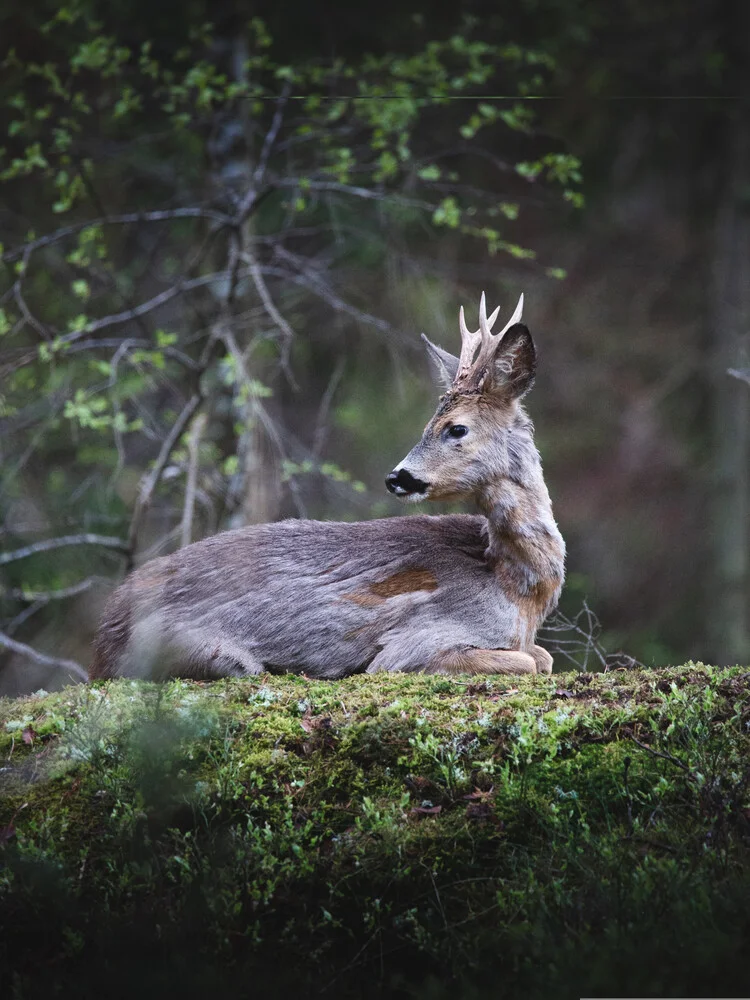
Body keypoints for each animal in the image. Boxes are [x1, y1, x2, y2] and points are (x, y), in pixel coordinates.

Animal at [89, 290, 564, 680]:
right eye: (429, 425)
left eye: (456, 428)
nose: (397, 477)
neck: (516, 588)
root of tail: (102, 638)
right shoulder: (414, 644)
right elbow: (530, 662)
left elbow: (543, 656)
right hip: (203, 652)